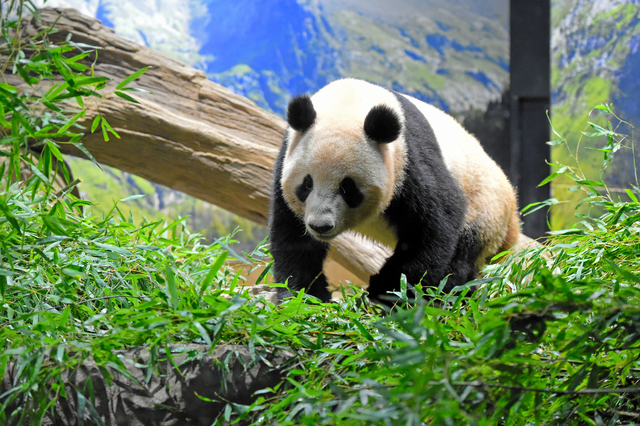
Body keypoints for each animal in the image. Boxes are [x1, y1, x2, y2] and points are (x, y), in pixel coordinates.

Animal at [268, 78, 524, 304]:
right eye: (307, 184)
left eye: (348, 187)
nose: (320, 226)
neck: (349, 101)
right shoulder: (287, 156)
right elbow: (293, 237)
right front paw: (306, 295)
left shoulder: (410, 161)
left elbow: (434, 224)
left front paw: (387, 289)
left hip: (485, 209)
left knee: (462, 258)